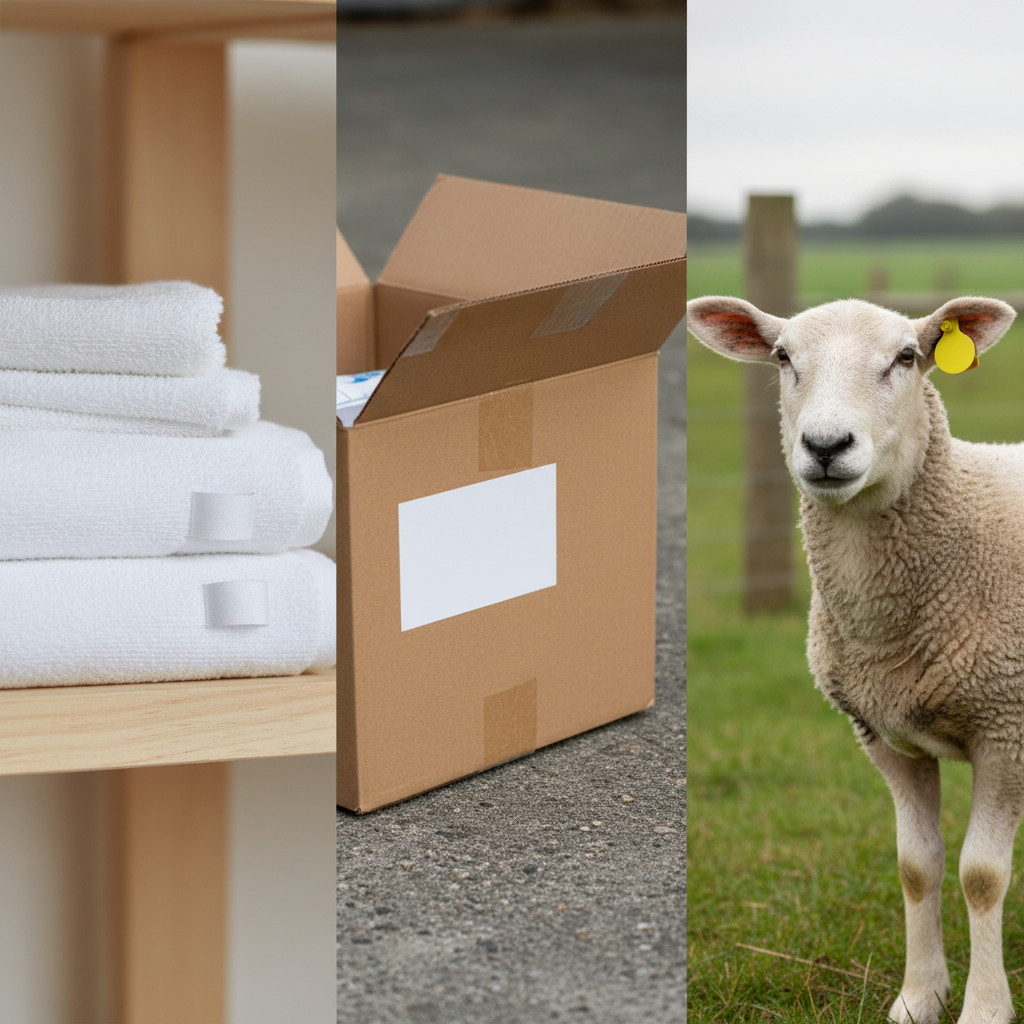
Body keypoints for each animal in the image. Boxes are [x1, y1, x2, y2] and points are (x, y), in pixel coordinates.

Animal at [687, 294, 1021, 1024]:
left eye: (907, 357)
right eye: (783, 357)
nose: (825, 446)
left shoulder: (1006, 725)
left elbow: (981, 876)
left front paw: (984, 1008)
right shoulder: (885, 736)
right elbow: (917, 866)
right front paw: (919, 998)